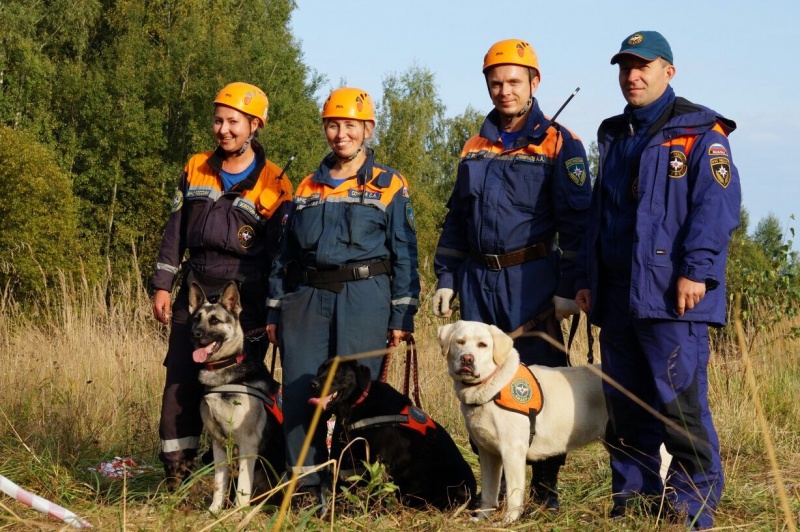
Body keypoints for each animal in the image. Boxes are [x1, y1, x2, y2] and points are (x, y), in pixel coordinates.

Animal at [189, 282, 286, 512]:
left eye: (214, 320)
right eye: (196, 318)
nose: (195, 334)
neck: (224, 369)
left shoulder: (247, 443)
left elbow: (242, 484)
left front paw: (238, 512)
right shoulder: (218, 443)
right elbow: (220, 482)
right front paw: (215, 510)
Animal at [308, 358, 476, 512]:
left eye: (337, 373)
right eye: (320, 370)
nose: (313, 384)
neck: (360, 401)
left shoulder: (385, 462)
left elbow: (376, 489)